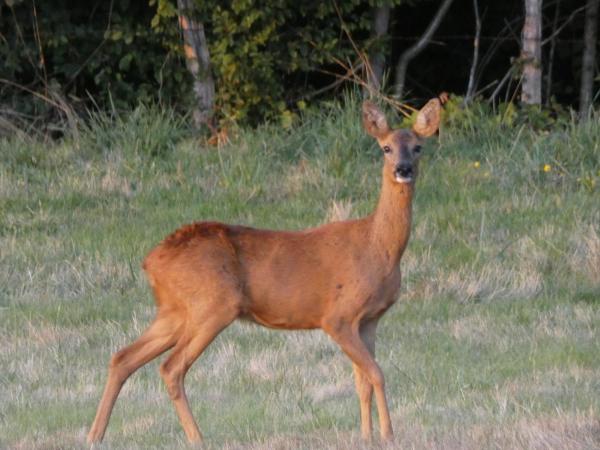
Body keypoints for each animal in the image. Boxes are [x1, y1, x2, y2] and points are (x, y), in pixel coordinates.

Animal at [88, 96, 446, 444]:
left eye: (418, 147)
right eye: (386, 147)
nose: (403, 169)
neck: (378, 247)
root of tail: (151, 261)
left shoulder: (370, 319)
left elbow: (362, 380)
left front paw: (366, 435)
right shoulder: (338, 316)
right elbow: (376, 373)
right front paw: (387, 434)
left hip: (175, 309)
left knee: (122, 357)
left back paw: (95, 435)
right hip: (214, 304)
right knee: (171, 367)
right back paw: (197, 438)